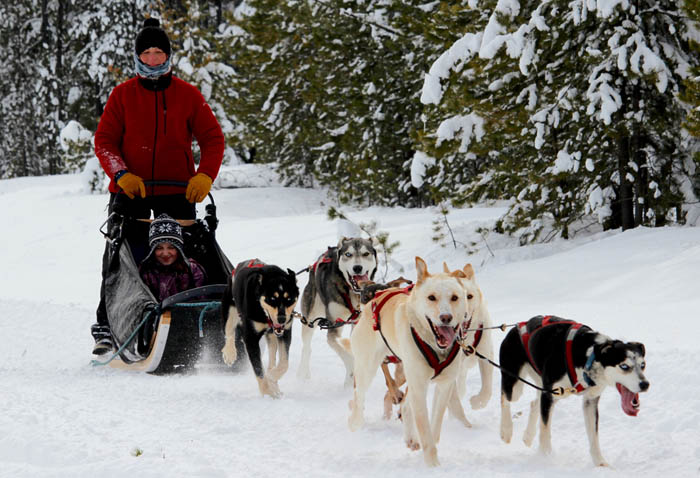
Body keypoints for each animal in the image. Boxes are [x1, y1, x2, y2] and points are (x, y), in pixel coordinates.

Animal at [221, 260, 298, 398]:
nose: (282, 319)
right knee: (229, 333)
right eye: (272, 299)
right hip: (230, 310)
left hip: (271, 336)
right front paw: (267, 393)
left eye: (289, 299)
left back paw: (274, 383)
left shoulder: (285, 333)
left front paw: (272, 378)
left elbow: (284, 363)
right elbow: (259, 371)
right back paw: (230, 353)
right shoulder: (251, 338)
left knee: (272, 360)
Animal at [298, 237, 380, 386]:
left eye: (366, 253)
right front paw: (350, 378)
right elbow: (348, 357)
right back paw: (303, 373)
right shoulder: (333, 329)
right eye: (348, 254)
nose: (357, 268)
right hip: (310, 319)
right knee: (306, 348)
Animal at [348, 258, 482, 466]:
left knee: (404, 404)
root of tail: (374, 300)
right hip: (368, 368)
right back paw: (356, 426)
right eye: (431, 297)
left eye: (455, 297)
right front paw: (432, 465)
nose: (446, 318)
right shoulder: (419, 387)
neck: (436, 346)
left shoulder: (444, 385)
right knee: (359, 395)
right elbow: (424, 428)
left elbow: (434, 426)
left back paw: (411, 438)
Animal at [500, 314, 648, 466]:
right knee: (505, 398)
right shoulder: (550, 394)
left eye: (643, 365)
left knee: (534, 403)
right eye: (624, 366)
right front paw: (545, 457)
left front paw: (600, 463)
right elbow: (545, 430)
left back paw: (528, 436)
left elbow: (594, 436)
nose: (645, 384)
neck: (588, 358)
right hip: (515, 386)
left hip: (549, 390)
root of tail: (517, 326)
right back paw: (506, 430)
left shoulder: (590, 401)